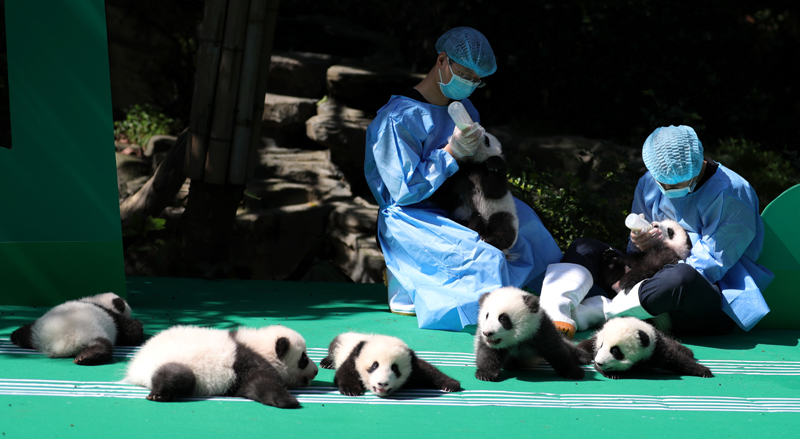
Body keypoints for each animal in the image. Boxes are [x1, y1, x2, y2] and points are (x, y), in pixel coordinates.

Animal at [10, 292, 145, 368]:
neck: (97, 301)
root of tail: (61, 342)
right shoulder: (115, 319)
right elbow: (132, 332)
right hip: (93, 333)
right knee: (102, 346)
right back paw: (85, 357)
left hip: (37, 329)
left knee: (25, 333)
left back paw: (15, 336)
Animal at [123, 324, 318, 410]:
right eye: (303, 358)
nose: (316, 371)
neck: (260, 347)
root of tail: (136, 366)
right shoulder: (247, 363)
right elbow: (262, 383)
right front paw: (289, 401)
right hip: (172, 362)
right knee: (176, 375)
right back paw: (158, 394)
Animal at [318, 334, 460, 398]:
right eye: (374, 365)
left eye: (395, 368)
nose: (382, 384)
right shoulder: (354, 357)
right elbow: (344, 373)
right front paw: (350, 389)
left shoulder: (414, 366)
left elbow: (431, 371)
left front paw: (451, 385)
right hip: (340, 343)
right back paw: (326, 362)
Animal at [576, 316, 712, 382]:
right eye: (601, 345)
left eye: (615, 351)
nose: (599, 362)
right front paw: (613, 373)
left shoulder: (655, 347)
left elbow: (677, 359)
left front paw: (703, 371)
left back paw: (687, 351)